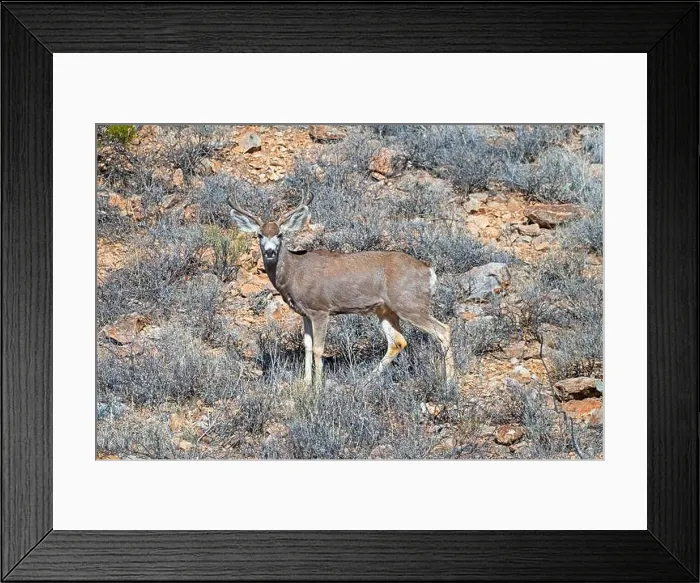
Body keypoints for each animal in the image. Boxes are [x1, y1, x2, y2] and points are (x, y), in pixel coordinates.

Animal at [227, 191, 455, 388]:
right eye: (259, 235)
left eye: (280, 234)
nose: (270, 252)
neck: (294, 272)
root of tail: (428, 271)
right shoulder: (305, 313)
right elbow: (307, 346)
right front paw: (305, 383)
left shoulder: (320, 309)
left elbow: (318, 349)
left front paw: (318, 386)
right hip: (385, 309)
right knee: (398, 341)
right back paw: (366, 380)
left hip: (410, 303)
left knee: (443, 330)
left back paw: (449, 381)